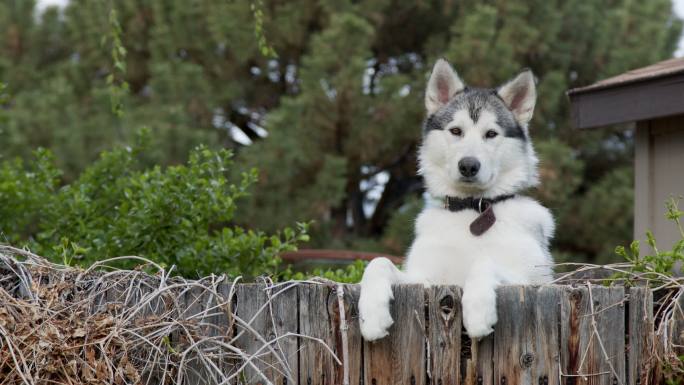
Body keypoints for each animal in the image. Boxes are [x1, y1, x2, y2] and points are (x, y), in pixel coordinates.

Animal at [360, 59, 552, 340]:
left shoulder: (533, 281)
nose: (469, 166)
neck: (471, 211)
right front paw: (372, 314)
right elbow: (378, 262)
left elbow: (484, 262)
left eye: (491, 134)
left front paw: (479, 310)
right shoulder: (424, 281)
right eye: (456, 131)